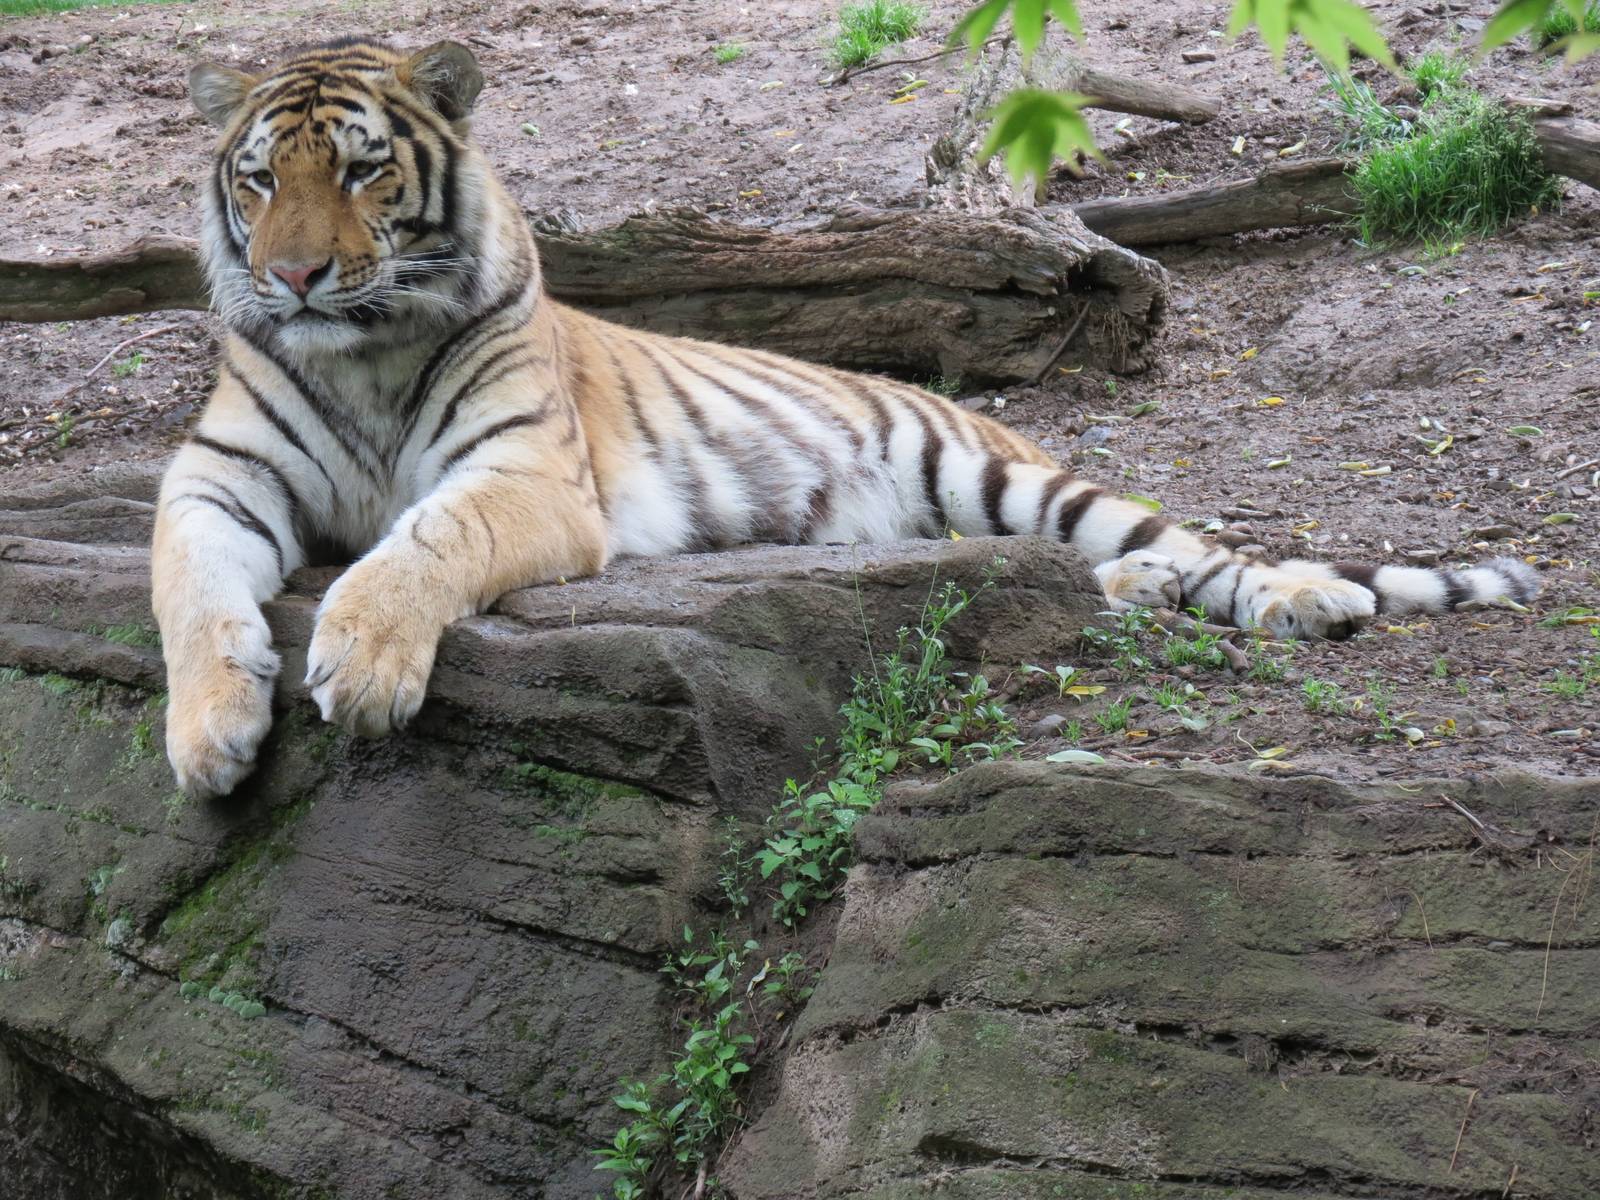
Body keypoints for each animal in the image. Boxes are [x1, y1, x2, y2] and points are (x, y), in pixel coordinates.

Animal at [155, 37, 1538, 798]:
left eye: (363, 169)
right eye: (259, 178)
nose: (292, 277)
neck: (359, 355)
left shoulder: (527, 474)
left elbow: (421, 546)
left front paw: (361, 667)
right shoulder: (216, 477)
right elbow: (188, 588)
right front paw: (211, 734)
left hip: (1009, 476)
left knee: (1192, 549)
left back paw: (1305, 598)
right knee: (1054, 574)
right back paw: (1128, 597)